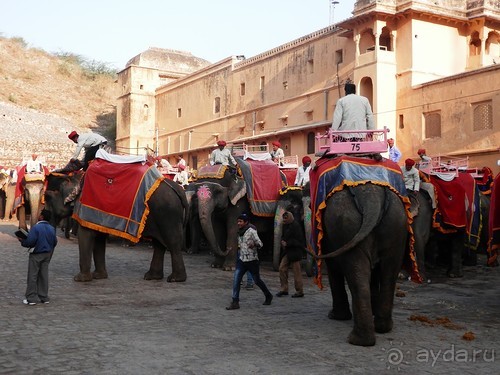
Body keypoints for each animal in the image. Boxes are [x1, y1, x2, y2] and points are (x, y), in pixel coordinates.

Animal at [44, 173, 189, 282]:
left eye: (48, 198)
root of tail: (180, 190)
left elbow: (85, 234)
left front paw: (80, 279)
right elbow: (99, 237)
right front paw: (99, 276)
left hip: (168, 214)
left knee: (172, 243)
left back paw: (175, 279)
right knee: (159, 244)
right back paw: (152, 277)